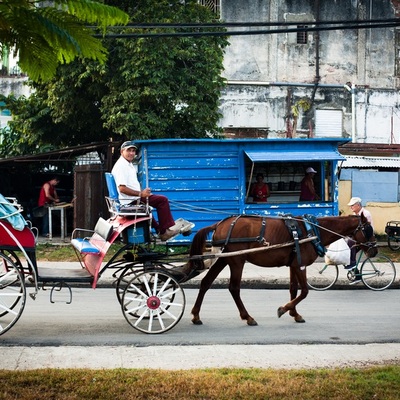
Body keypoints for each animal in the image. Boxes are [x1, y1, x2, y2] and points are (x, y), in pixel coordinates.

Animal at [183, 214, 376, 326]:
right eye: (368, 229)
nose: (374, 250)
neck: (312, 230)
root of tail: (220, 224)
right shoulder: (300, 265)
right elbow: (304, 291)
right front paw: (284, 309)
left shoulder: (293, 264)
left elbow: (293, 289)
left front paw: (294, 313)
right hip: (237, 260)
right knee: (234, 288)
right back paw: (248, 317)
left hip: (224, 259)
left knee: (206, 282)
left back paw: (196, 315)